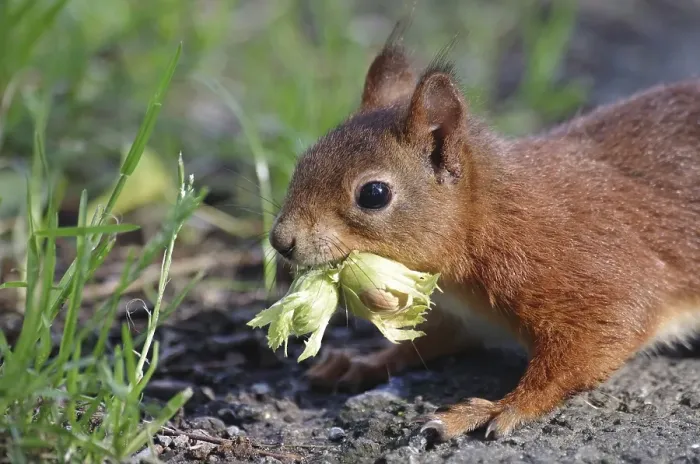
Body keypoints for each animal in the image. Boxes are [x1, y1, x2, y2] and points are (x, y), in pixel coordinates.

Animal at [267, 23, 700, 440]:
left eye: (374, 194)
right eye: (303, 160)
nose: (280, 241)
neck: (488, 219)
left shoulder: (587, 269)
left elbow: (603, 334)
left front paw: (499, 407)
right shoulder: (463, 318)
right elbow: (427, 341)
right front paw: (365, 362)